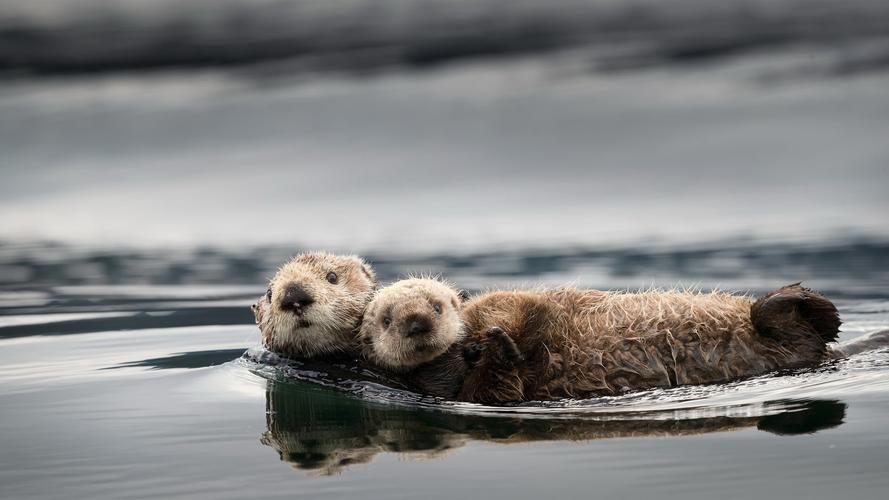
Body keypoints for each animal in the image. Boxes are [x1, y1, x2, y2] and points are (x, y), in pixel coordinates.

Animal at [358, 280, 844, 404]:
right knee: (799, 334)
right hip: (792, 344)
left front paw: (497, 338)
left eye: (437, 305)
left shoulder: (503, 304)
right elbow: (497, 384)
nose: (417, 323)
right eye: (386, 319)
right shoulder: (471, 393)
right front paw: (500, 350)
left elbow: (515, 307)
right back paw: (795, 303)